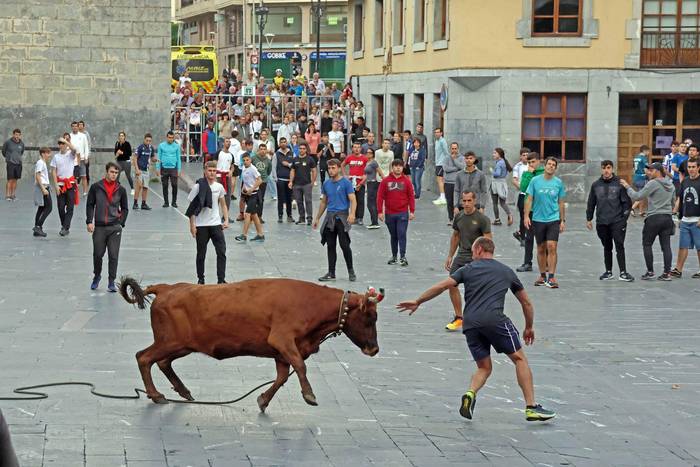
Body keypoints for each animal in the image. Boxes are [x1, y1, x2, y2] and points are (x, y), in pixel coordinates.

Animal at [119, 276, 382, 412]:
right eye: (370, 317)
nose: (374, 349)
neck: (311, 303)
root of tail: (166, 288)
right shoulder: (283, 341)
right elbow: (300, 367)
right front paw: (309, 395)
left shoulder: (281, 353)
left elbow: (282, 377)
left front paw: (262, 400)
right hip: (170, 342)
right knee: (144, 357)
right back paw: (156, 395)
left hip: (182, 345)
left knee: (162, 362)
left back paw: (183, 391)